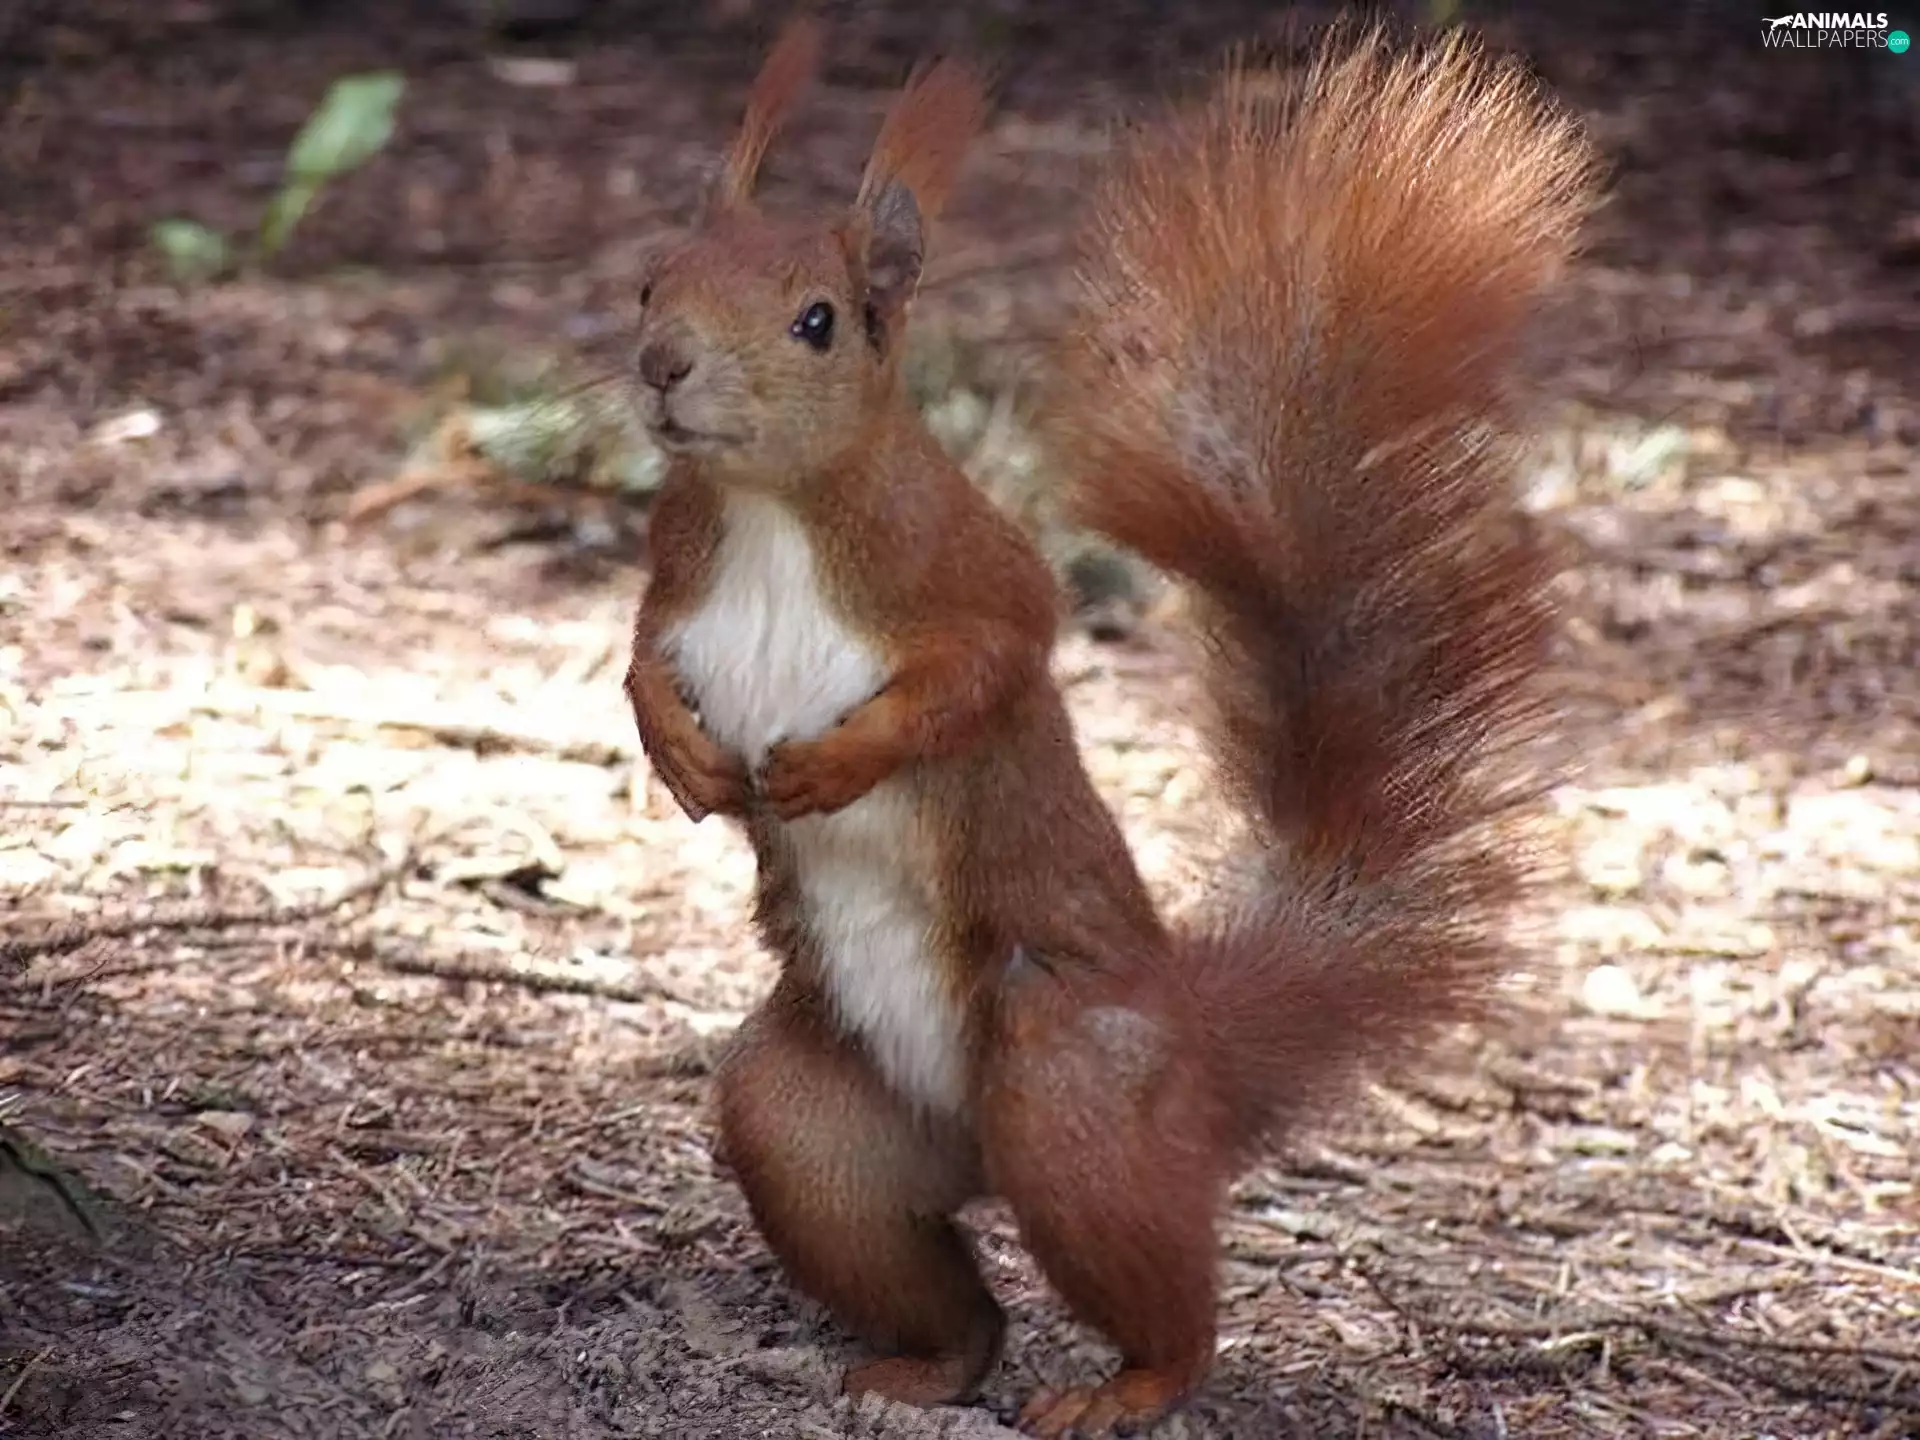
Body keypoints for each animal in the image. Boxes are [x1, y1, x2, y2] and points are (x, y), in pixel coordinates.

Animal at [622, 18, 1598, 1438]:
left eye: (818, 322)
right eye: (650, 283)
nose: (662, 366)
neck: (770, 511)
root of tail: (1196, 1051)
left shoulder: (979, 577)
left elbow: (982, 675)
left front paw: (832, 765)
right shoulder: (672, 586)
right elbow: (640, 673)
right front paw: (688, 761)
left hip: (1068, 1080)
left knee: (1168, 1306)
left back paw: (1126, 1386)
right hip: (812, 1125)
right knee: (948, 1289)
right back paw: (922, 1370)